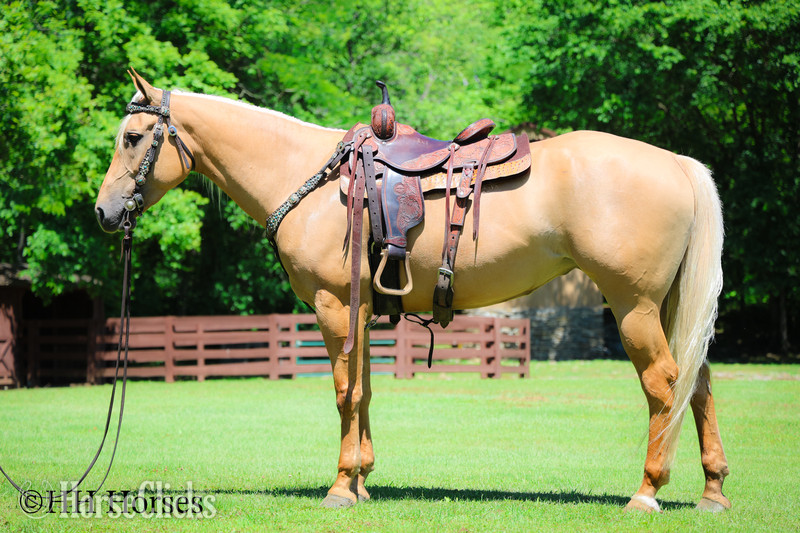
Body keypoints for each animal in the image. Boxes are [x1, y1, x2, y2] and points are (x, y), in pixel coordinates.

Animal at [95, 71, 729, 512]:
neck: (308, 179)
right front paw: (362, 481)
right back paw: (713, 492)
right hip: (667, 306)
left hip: (633, 306)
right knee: (698, 384)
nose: (103, 212)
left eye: (133, 137)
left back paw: (646, 492)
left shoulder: (333, 308)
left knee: (664, 385)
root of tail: (675, 161)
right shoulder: (361, 313)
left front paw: (340, 488)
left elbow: (345, 393)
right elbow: (365, 392)